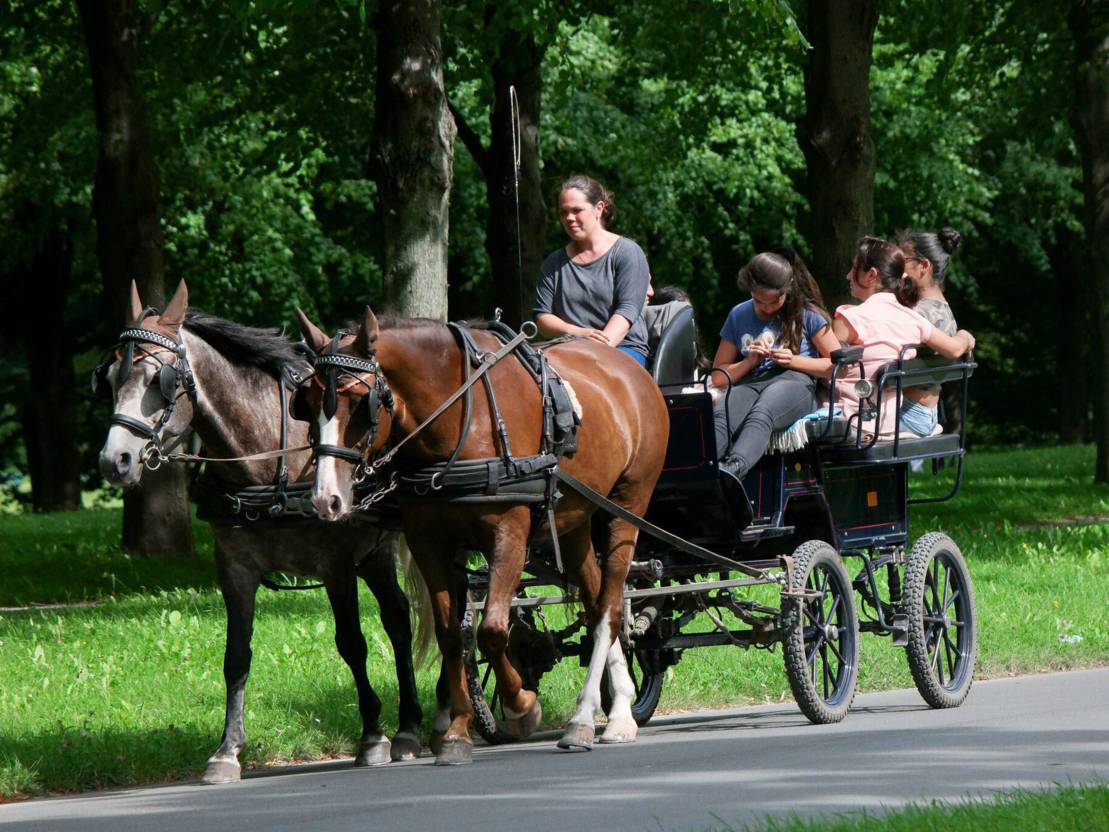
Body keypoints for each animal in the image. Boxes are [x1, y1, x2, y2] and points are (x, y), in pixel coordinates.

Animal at [294, 310, 665, 767]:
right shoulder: (429, 542)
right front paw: (456, 732)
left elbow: (491, 630)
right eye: (307, 402)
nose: (325, 498)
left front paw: (521, 707)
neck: (458, 419)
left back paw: (596, 720)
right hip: (574, 521)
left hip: (626, 509)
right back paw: (608, 712)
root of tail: (630, 369)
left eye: (360, 401)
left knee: (612, 607)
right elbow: (452, 635)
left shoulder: (509, 533)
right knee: (596, 607)